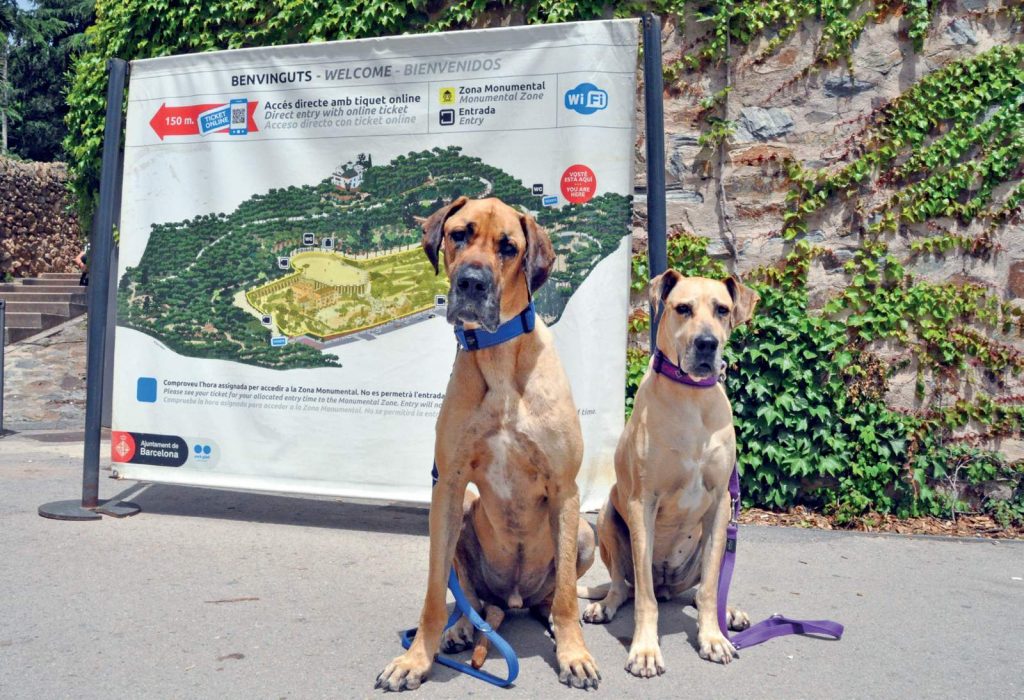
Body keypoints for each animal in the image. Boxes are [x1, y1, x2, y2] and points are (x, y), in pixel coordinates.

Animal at [376, 195, 598, 687]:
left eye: (508, 247)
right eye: (459, 234)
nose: (471, 282)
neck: (498, 356)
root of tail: (511, 601)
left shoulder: (565, 488)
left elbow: (568, 594)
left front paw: (574, 654)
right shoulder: (448, 484)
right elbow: (434, 592)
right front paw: (415, 658)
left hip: (585, 529)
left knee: (553, 595)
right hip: (461, 509)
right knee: (472, 600)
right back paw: (461, 629)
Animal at [581, 270, 757, 675]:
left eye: (722, 309)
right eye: (683, 308)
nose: (707, 344)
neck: (692, 398)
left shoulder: (721, 504)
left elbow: (709, 588)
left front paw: (713, 637)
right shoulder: (642, 503)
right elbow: (644, 597)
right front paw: (645, 650)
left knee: (702, 586)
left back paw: (729, 612)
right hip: (610, 519)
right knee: (624, 586)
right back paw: (604, 605)